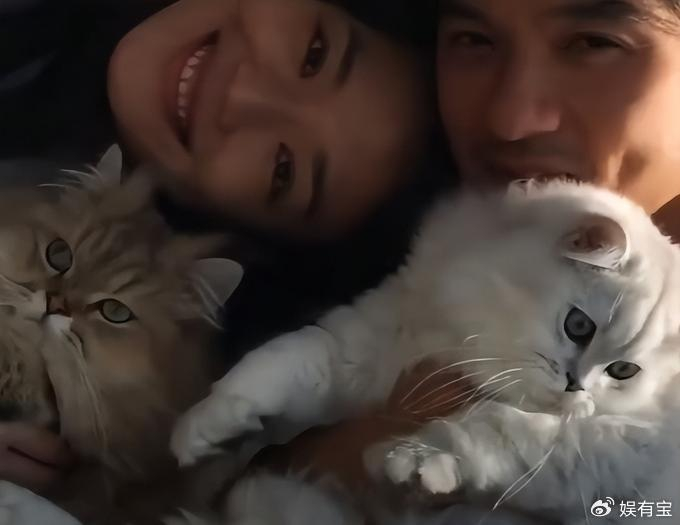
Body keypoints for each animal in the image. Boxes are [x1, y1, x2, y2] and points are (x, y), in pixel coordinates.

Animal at [171, 179, 680, 525]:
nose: (578, 386)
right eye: (578, 326)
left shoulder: (623, 444)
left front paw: (418, 459)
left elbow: (498, 428)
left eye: (623, 371)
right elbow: (280, 363)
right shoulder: (377, 340)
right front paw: (203, 425)